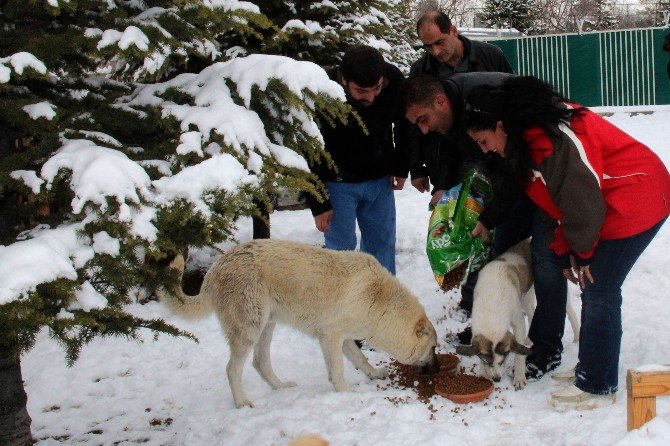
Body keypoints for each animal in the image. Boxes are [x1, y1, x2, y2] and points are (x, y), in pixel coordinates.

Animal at [161, 240, 440, 408]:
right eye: (433, 349)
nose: (438, 369)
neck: (380, 302)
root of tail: (216, 267)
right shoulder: (330, 337)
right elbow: (338, 370)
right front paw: (346, 393)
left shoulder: (343, 338)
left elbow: (360, 359)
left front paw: (373, 374)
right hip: (249, 330)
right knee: (232, 369)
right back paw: (242, 403)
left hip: (267, 327)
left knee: (260, 363)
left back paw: (281, 387)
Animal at [456, 239, 584, 388]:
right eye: (489, 362)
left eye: (502, 361)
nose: (497, 379)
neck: (492, 304)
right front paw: (483, 374)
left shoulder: (518, 322)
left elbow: (519, 354)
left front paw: (519, 377)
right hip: (525, 297)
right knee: (532, 311)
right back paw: (529, 339)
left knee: (570, 312)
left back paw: (577, 336)